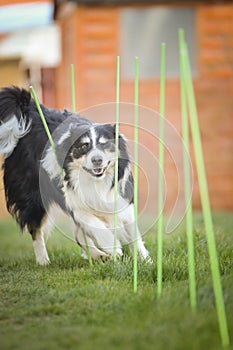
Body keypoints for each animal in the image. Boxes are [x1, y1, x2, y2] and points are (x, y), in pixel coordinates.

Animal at [0, 87, 149, 266]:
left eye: (104, 144)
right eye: (84, 146)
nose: (97, 160)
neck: (95, 181)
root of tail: (31, 109)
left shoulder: (122, 199)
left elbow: (133, 232)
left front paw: (145, 260)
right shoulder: (73, 200)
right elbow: (93, 223)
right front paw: (113, 247)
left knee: (79, 235)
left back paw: (98, 255)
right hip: (32, 194)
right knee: (35, 228)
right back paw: (43, 261)